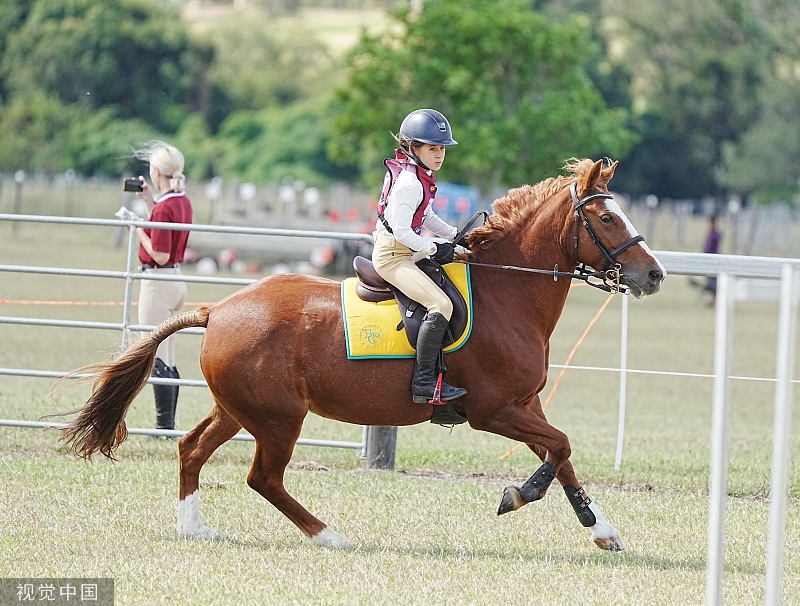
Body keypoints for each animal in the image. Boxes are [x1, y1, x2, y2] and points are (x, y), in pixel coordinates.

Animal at [59, 159, 664, 552]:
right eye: (607, 219)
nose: (654, 275)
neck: (507, 290)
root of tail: (219, 309)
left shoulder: (525, 405)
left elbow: (561, 455)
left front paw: (601, 529)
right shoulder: (493, 411)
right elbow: (559, 449)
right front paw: (519, 494)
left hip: (239, 410)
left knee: (191, 449)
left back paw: (194, 529)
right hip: (279, 419)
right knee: (264, 479)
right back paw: (331, 536)